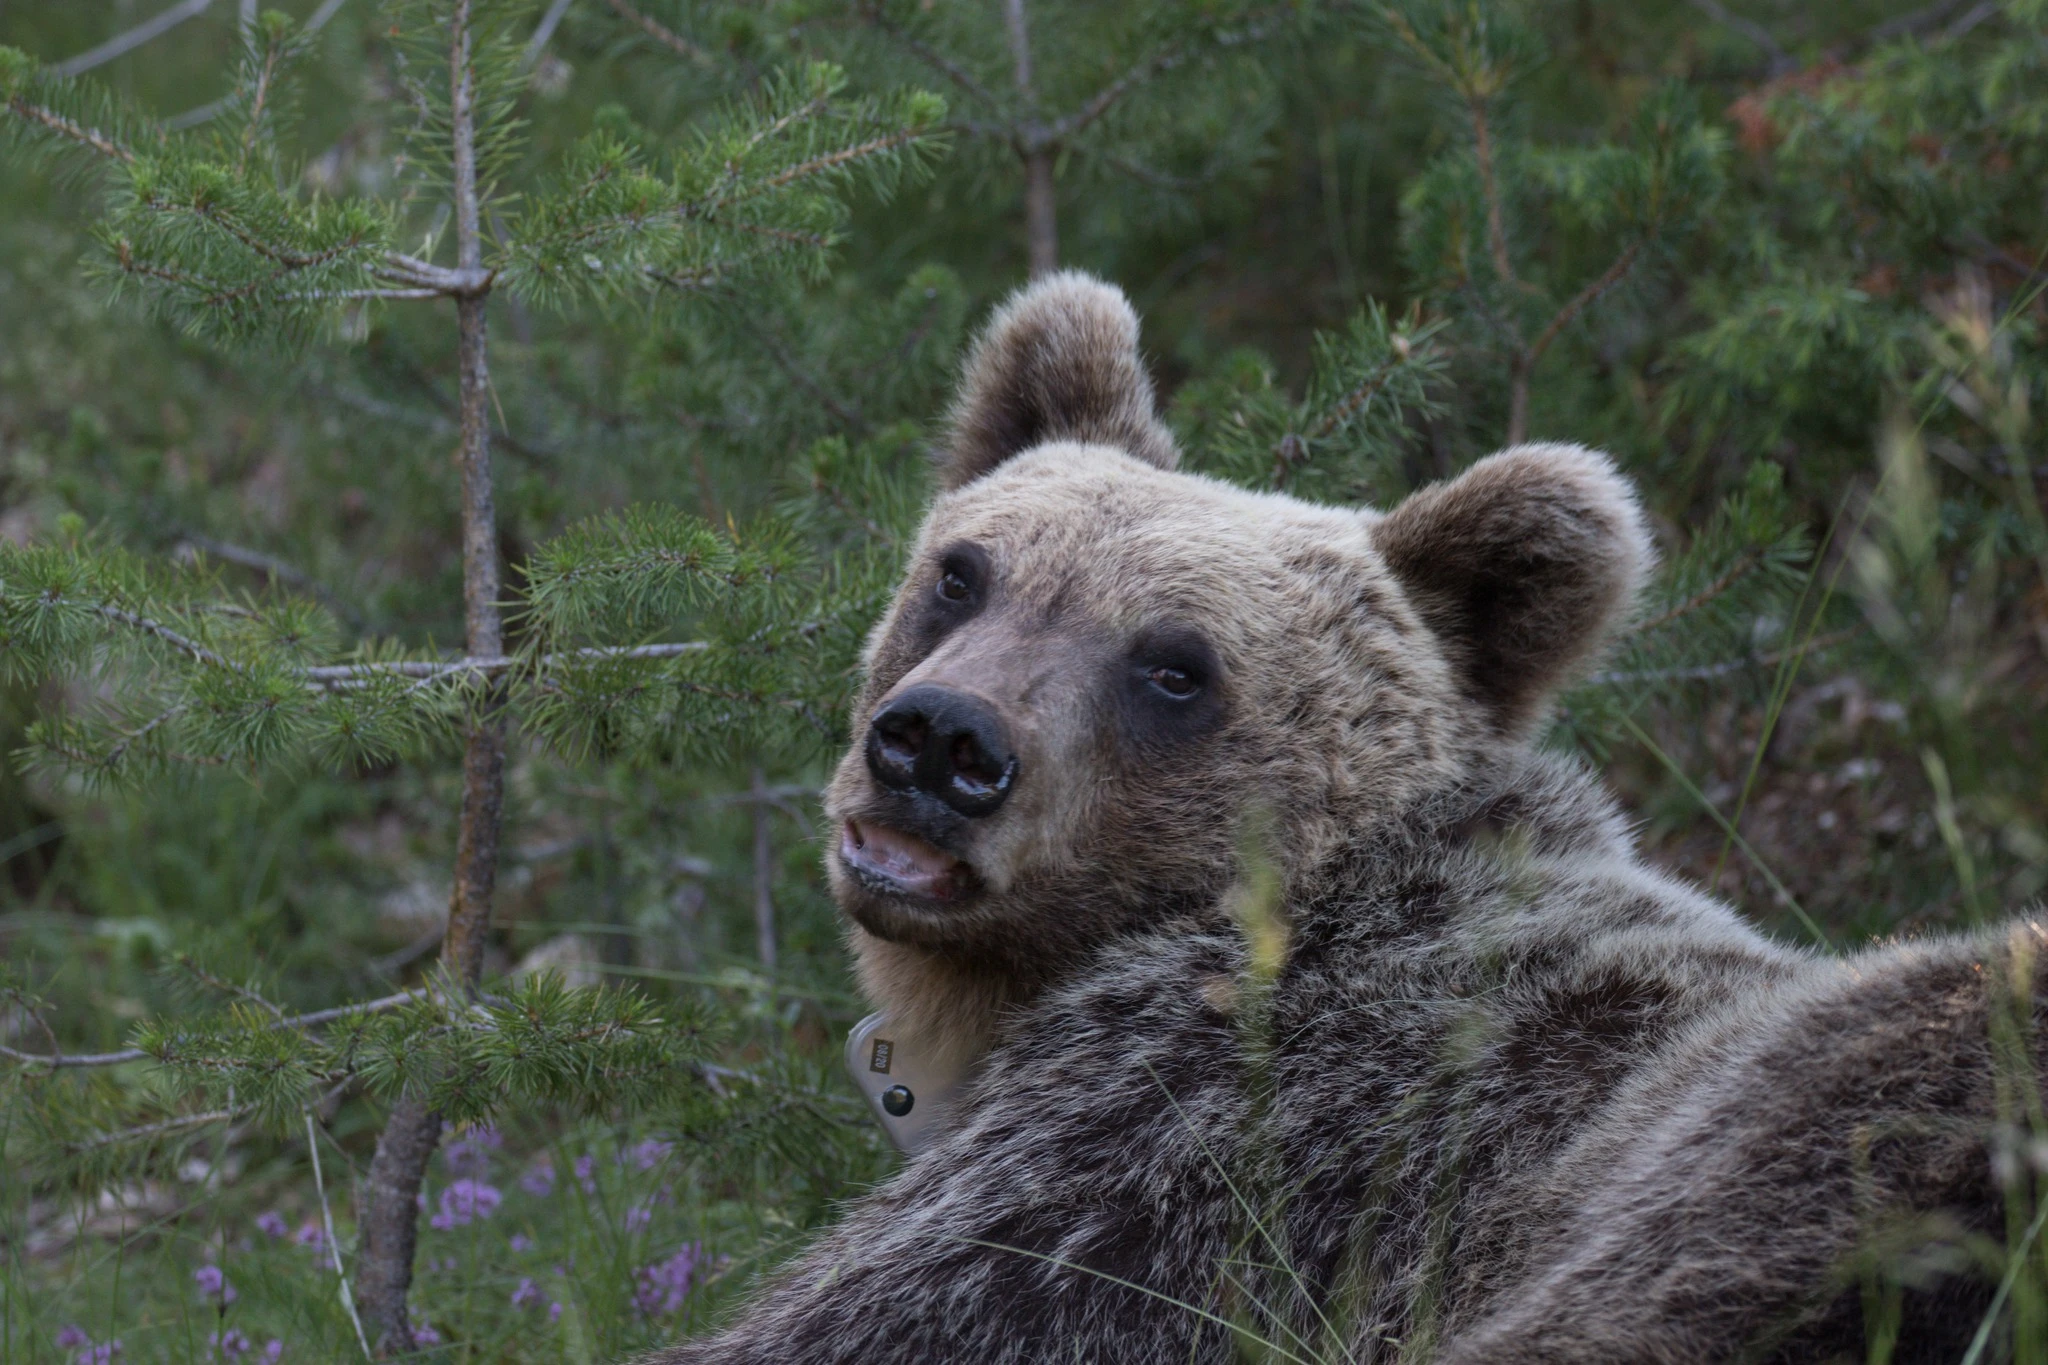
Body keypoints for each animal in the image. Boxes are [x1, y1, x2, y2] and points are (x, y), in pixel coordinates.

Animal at [653, 272, 2048, 1364]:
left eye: (1175, 666)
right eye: (962, 573)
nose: (941, 744)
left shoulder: (1211, 1147)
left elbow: (916, 1301)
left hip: (1806, 1161)